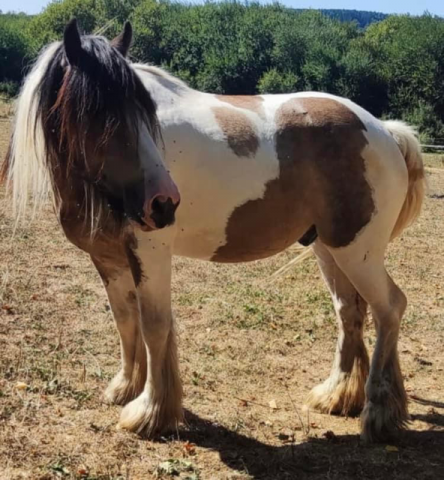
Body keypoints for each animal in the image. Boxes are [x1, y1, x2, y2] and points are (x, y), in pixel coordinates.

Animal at [2, 21, 426, 442]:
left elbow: (154, 325)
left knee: (389, 308)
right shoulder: (109, 259)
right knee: (350, 311)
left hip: (358, 252)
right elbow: (125, 320)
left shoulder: (150, 251)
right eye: (99, 112)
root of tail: (383, 129)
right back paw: (337, 395)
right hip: (329, 248)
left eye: (143, 110)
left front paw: (149, 411)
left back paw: (378, 413)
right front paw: (126, 387)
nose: (163, 202)